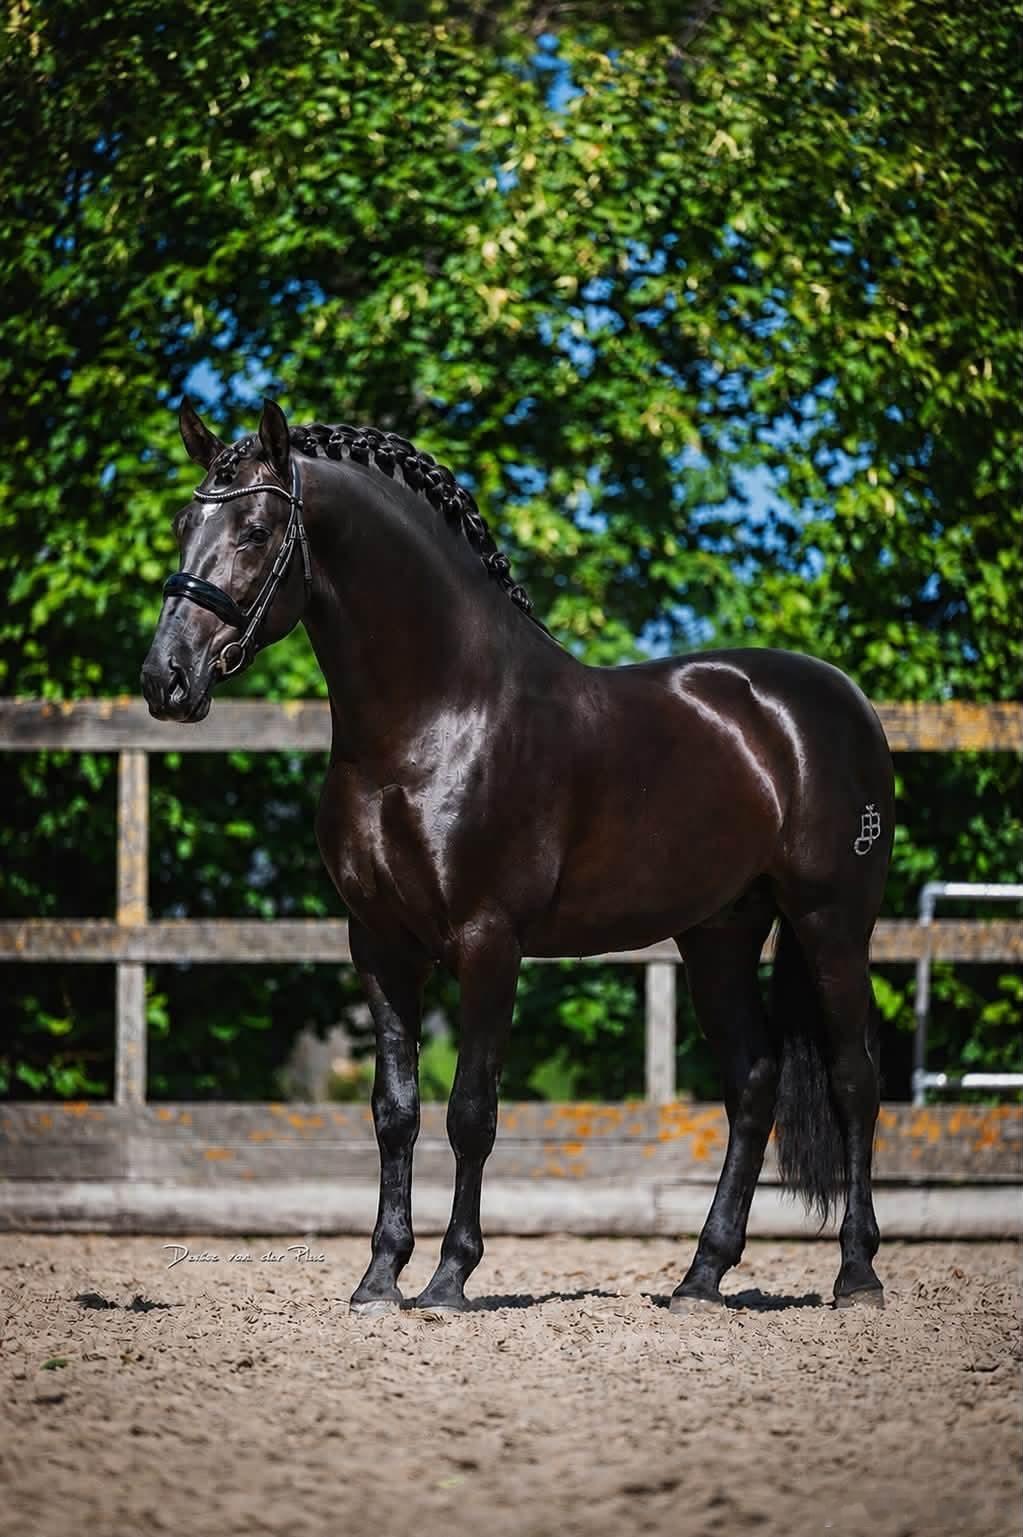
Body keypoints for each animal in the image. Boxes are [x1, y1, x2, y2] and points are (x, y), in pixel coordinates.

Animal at [142, 398, 894, 1317]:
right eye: (184, 525)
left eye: (254, 529)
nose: (166, 678)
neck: (436, 717)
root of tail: (838, 701)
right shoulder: (377, 944)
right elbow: (395, 1109)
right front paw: (379, 1277)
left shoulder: (487, 940)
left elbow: (472, 1109)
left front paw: (448, 1278)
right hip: (718, 934)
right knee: (752, 1085)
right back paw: (699, 1276)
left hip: (831, 924)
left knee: (854, 1080)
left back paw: (856, 1273)